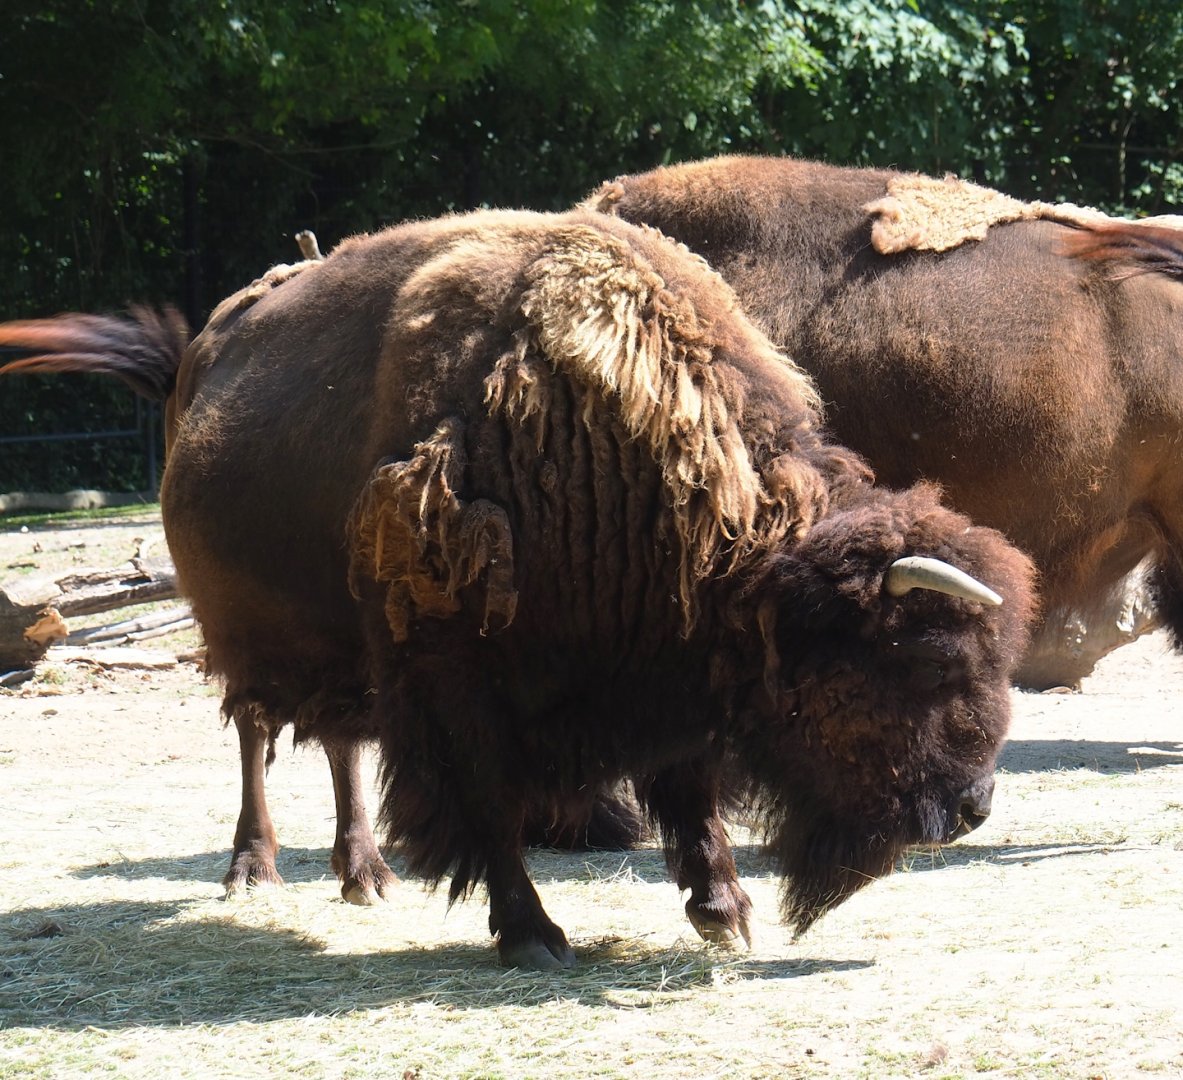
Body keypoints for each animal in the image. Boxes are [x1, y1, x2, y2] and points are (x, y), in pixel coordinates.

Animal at [1, 208, 1033, 968]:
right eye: (919, 664)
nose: (973, 806)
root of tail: (196, 362)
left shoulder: (665, 676)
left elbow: (690, 786)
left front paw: (723, 914)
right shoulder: (456, 680)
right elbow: (490, 802)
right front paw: (532, 935)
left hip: (344, 653)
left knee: (339, 740)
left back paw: (363, 873)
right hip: (243, 630)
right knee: (256, 729)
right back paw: (254, 870)